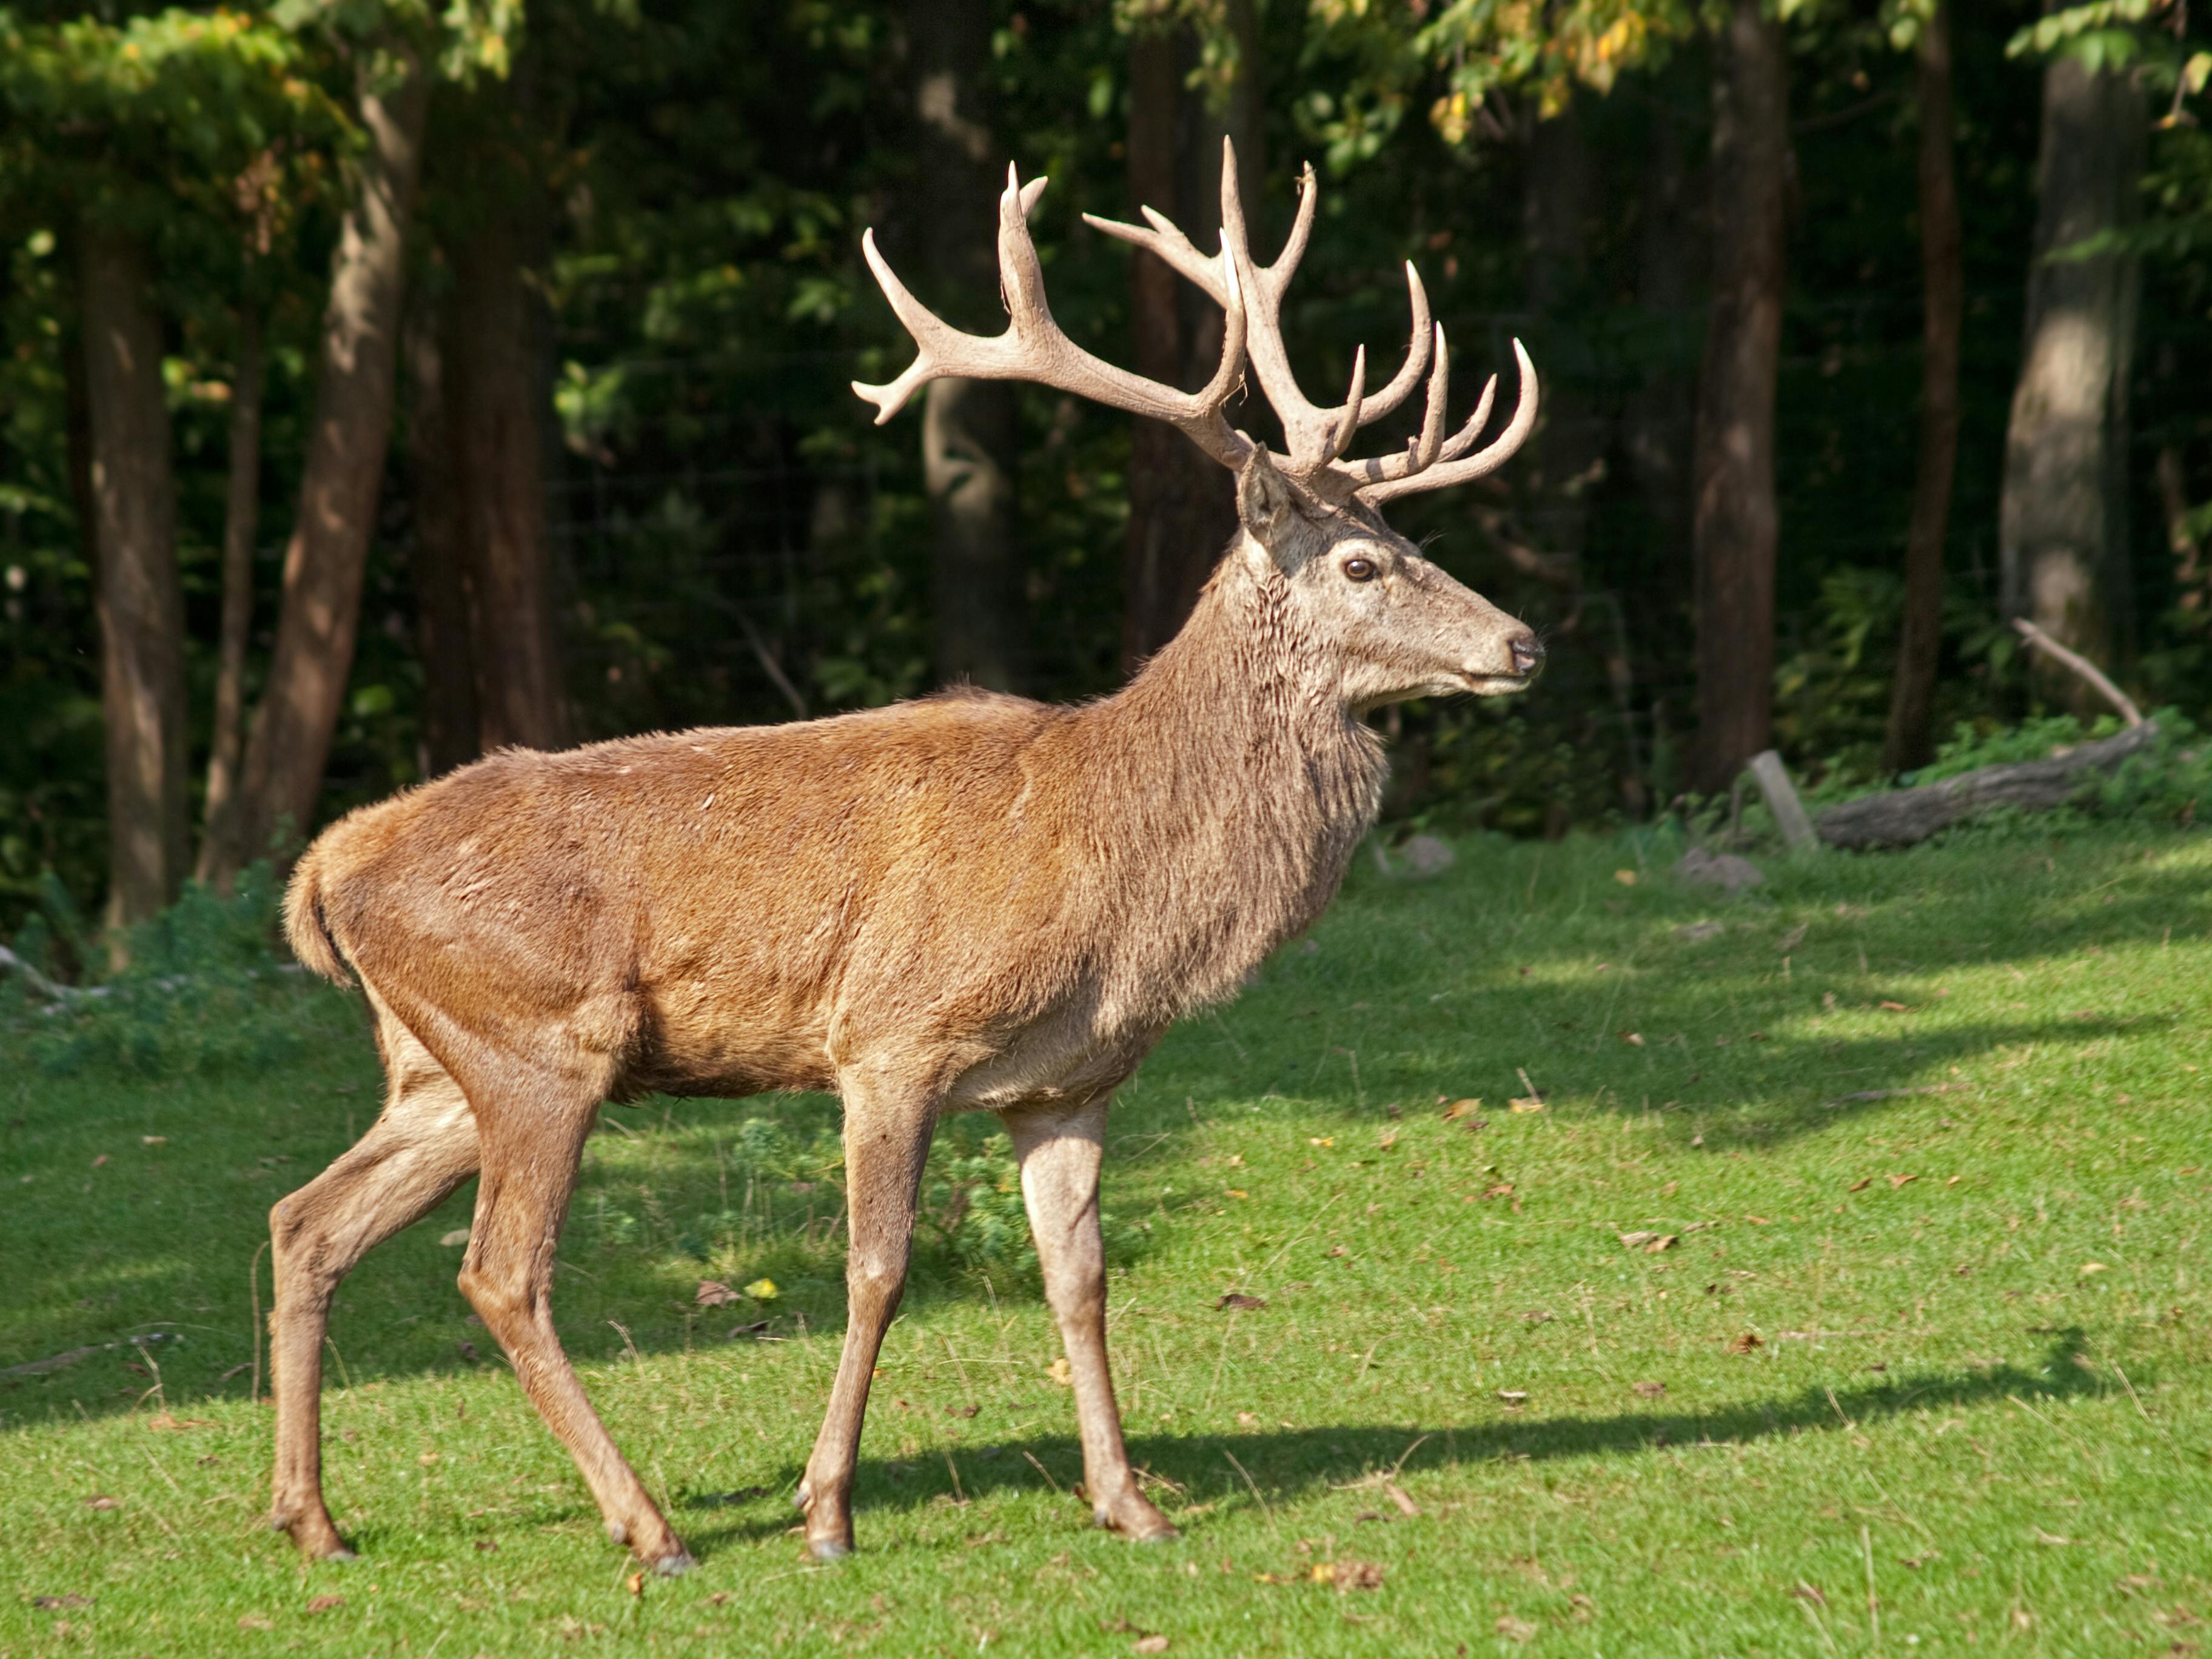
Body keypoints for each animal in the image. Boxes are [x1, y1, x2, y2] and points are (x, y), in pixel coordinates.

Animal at [266, 137, 1541, 1574]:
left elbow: (1079, 1276)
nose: (1522, 643)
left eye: (1420, 545)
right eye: (1366, 563)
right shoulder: (890, 1037)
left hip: (436, 1070)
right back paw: (650, 1527)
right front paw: (826, 1511)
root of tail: (325, 870)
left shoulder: (1070, 1083)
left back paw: (313, 1519)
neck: (1119, 874)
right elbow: (877, 1270)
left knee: (306, 1221)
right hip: (543, 1042)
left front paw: (1129, 1499)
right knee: (499, 1273)